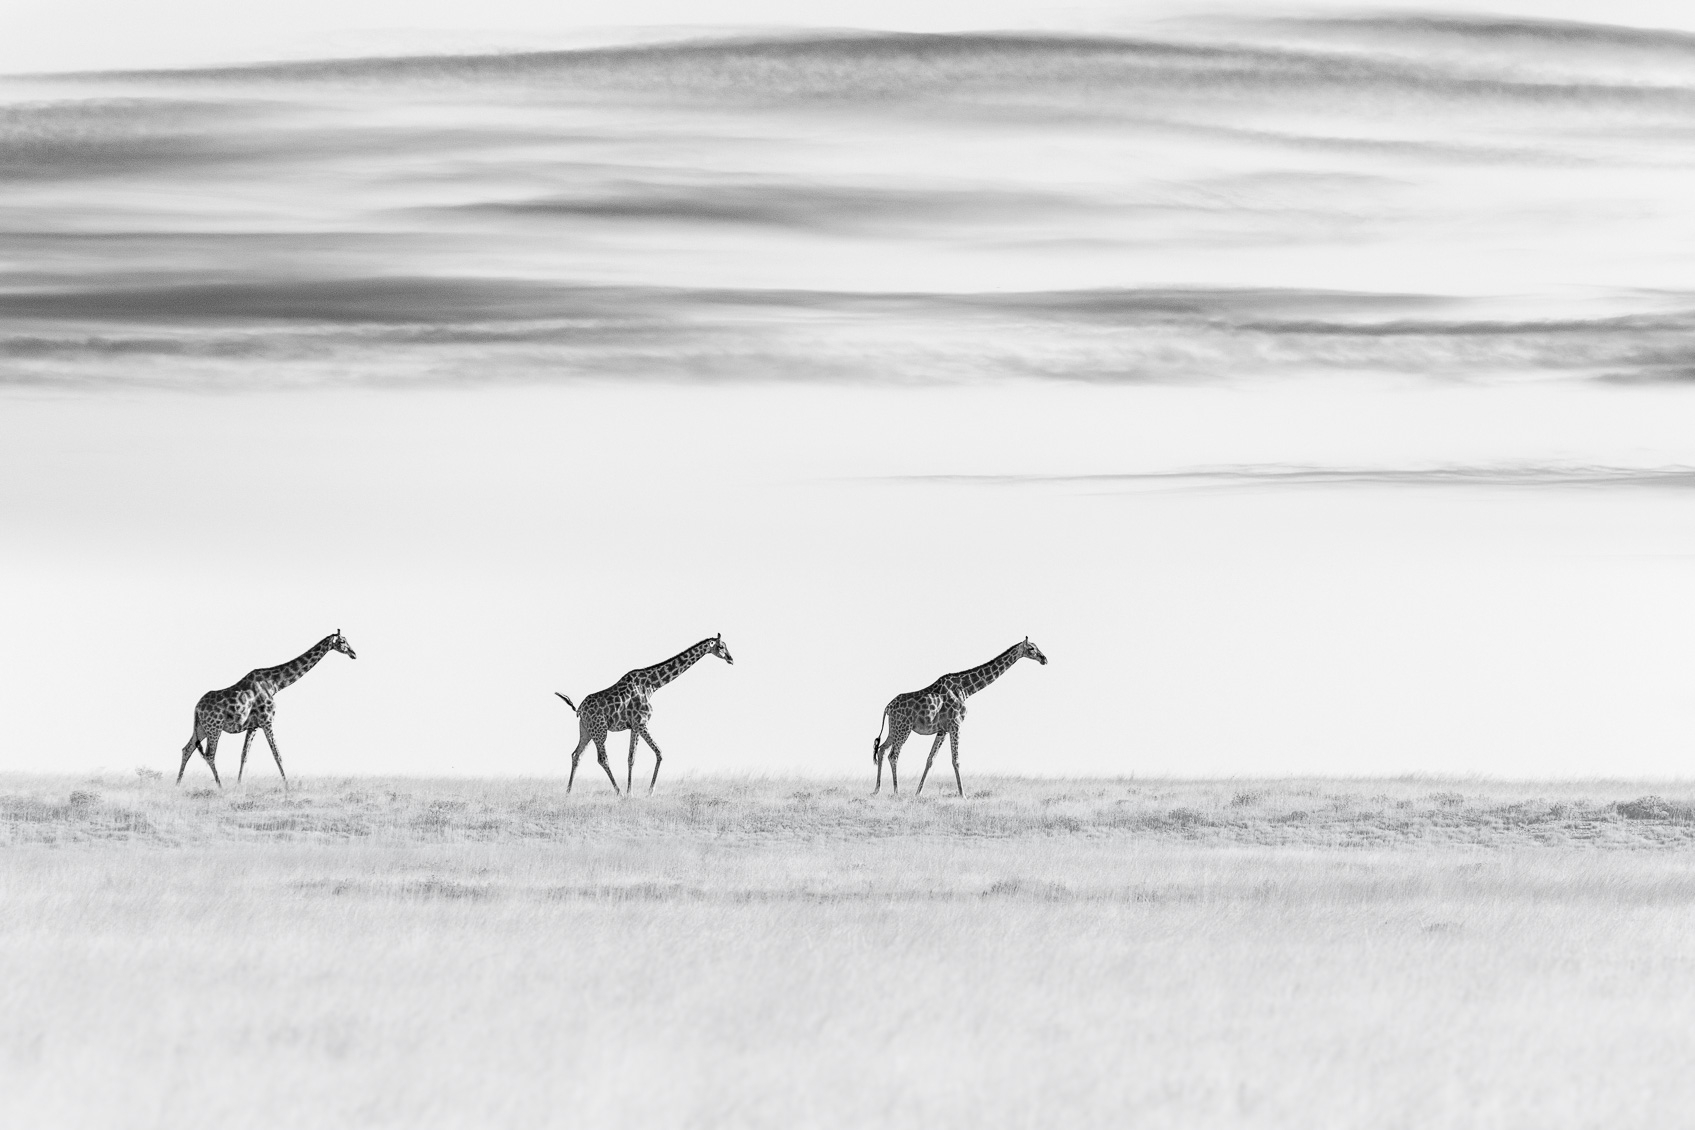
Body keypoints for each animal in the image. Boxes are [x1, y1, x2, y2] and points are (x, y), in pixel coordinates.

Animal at [177, 630, 357, 789]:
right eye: (342, 641)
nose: (354, 653)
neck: (275, 683)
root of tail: (196, 708)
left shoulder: (253, 726)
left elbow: (244, 755)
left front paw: (239, 785)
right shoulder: (267, 720)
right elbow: (277, 754)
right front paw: (288, 787)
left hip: (201, 727)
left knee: (187, 749)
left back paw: (178, 784)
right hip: (214, 727)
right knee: (209, 754)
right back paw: (220, 786)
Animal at [555, 634, 733, 795]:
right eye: (721, 646)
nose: (731, 659)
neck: (652, 685)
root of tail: (579, 709)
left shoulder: (634, 726)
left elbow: (631, 758)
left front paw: (631, 792)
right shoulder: (642, 723)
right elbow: (659, 752)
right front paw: (648, 791)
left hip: (585, 730)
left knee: (576, 755)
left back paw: (568, 792)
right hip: (600, 730)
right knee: (602, 759)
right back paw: (618, 792)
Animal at [872, 637, 1047, 797]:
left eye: (1037, 646)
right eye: (1031, 648)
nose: (1044, 659)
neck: (966, 689)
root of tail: (887, 707)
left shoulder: (942, 730)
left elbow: (930, 759)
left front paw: (918, 793)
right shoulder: (956, 724)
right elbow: (956, 760)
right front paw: (963, 795)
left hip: (894, 728)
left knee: (881, 749)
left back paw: (877, 790)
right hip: (904, 728)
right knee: (893, 755)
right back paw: (896, 792)